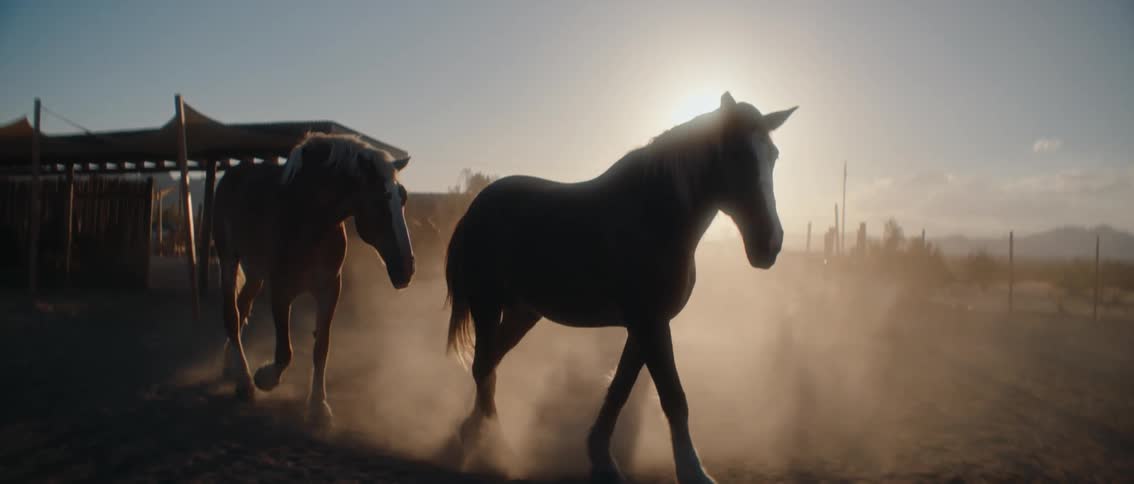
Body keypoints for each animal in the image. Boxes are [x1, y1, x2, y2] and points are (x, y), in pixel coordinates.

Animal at [212, 132, 414, 424]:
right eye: (379, 201)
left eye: (403, 199)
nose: (406, 268)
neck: (310, 217)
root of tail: (233, 174)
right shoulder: (281, 289)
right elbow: (285, 352)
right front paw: (265, 378)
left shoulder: (329, 290)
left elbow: (321, 348)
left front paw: (318, 405)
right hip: (229, 260)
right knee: (231, 314)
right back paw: (245, 382)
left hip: (255, 273)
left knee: (241, 308)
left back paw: (232, 366)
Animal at [444, 92, 796, 483]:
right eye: (735, 155)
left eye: (773, 156)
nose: (770, 244)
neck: (653, 217)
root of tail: (476, 207)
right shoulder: (649, 323)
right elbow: (673, 397)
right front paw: (692, 470)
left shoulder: (647, 325)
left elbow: (621, 390)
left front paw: (601, 457)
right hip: (487, 304)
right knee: (483, 367)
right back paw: (493, 446)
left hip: (523, 312)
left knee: (489, 365)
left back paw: (474, 433)